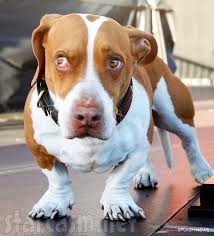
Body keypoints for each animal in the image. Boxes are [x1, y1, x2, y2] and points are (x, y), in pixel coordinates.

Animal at [24, 13, 213, 221]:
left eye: (114, 62)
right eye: (61, 60)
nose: (87, 115)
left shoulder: (138, 148)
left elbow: (119, 177)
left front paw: (118, 203)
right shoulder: (40, 151)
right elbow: (58, 178)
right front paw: (54, 201)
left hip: (173, 114)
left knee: (189, 140)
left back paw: (201, 169)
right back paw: (146, 173)